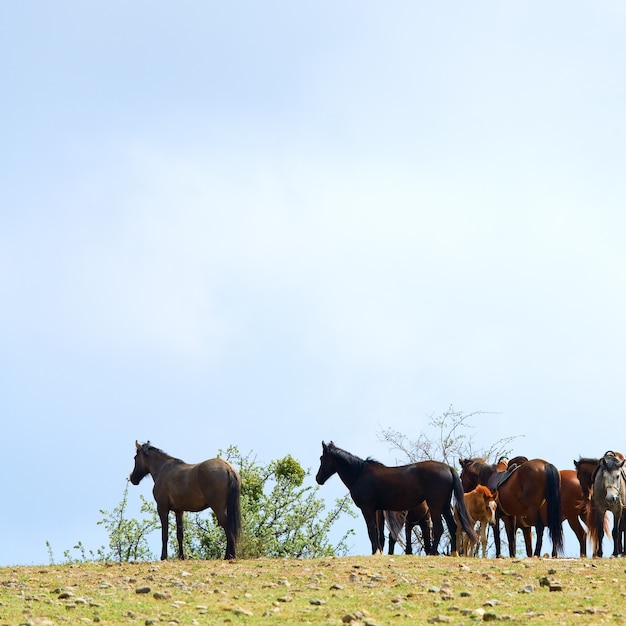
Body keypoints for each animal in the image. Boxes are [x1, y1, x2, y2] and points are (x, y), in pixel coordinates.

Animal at [314, 436, 476, 552]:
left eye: (321, 458)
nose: (318, 479)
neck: (359, 474)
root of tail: (448, 468)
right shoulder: (378, 510)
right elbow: (379, 534)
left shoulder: (367, 509)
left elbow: (371, 531)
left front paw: (375, 552)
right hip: (444, 506)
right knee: (453, 527)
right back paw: (454, 553)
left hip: (435, 506)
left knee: (439, 529)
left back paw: (433, 553)